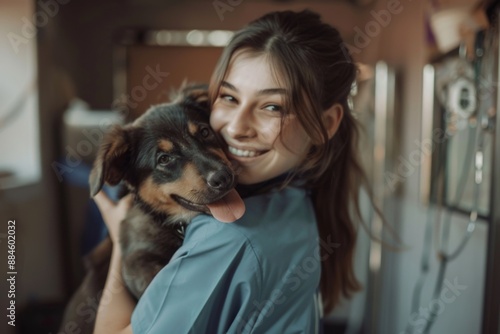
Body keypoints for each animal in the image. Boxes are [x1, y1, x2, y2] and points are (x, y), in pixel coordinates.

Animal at [59, 84, 246, 334]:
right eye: (164, 159)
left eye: (205, 132)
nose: (224, 178)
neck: (175, 225)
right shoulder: (133, 259)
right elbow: (152, 279)